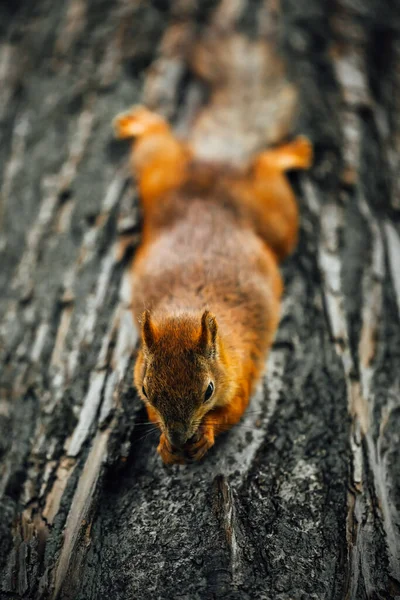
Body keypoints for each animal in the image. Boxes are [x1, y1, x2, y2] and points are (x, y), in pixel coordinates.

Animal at [112, 106, 312, 464]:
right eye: (147, 390)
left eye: (208, 390)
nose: (178, 437)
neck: (185, 312)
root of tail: (213, 179)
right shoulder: (139, 368)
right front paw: (165, 444)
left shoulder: (241, 371)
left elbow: (232, 411)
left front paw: (204, 434)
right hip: (158, 175)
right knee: (157, 145)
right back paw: (142, 122)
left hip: (277, 221)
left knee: (270, 176)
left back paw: (287, 155)